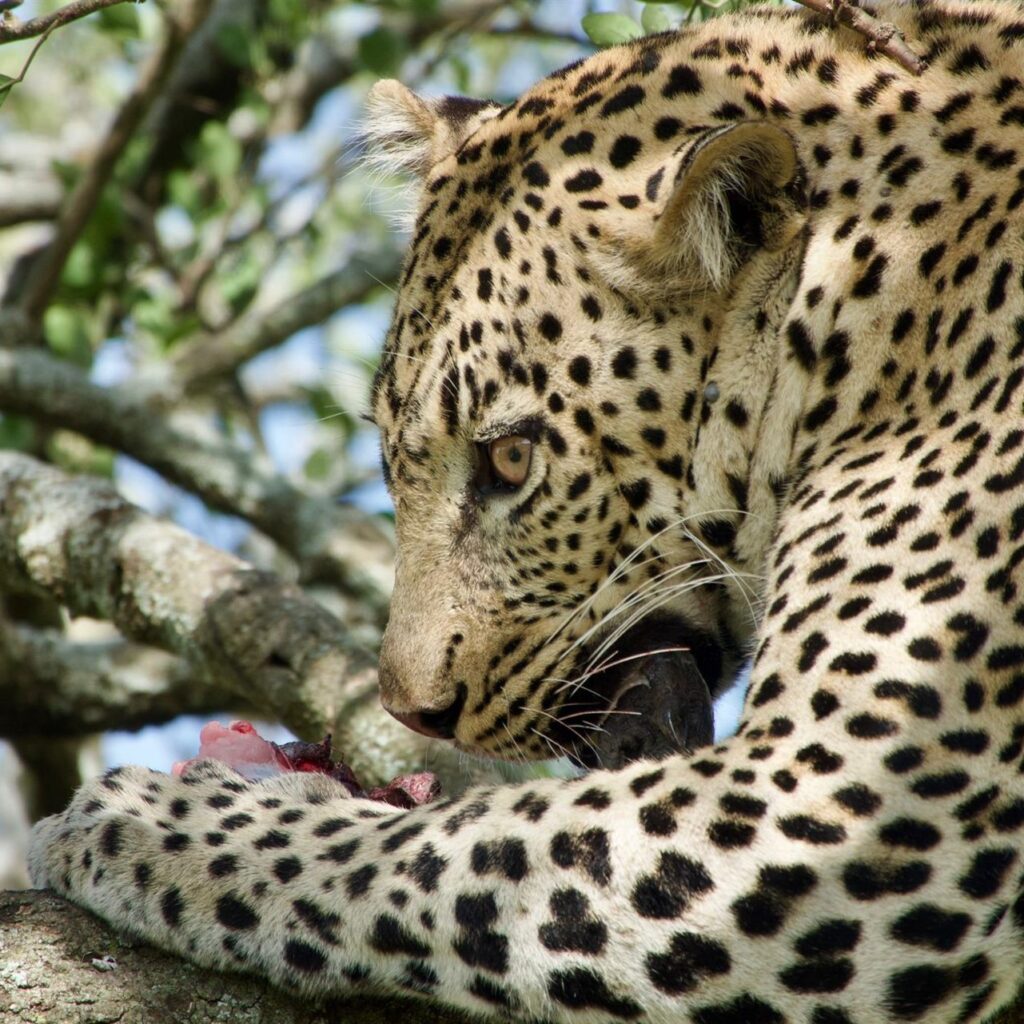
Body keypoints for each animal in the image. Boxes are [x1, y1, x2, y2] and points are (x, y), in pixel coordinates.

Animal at [27, 1, 1024, 1021]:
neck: (866, 310)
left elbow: (452, 850)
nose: (415, 711)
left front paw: (158, 818)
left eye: (512, 459)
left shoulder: (841, 801)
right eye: (389, 456)